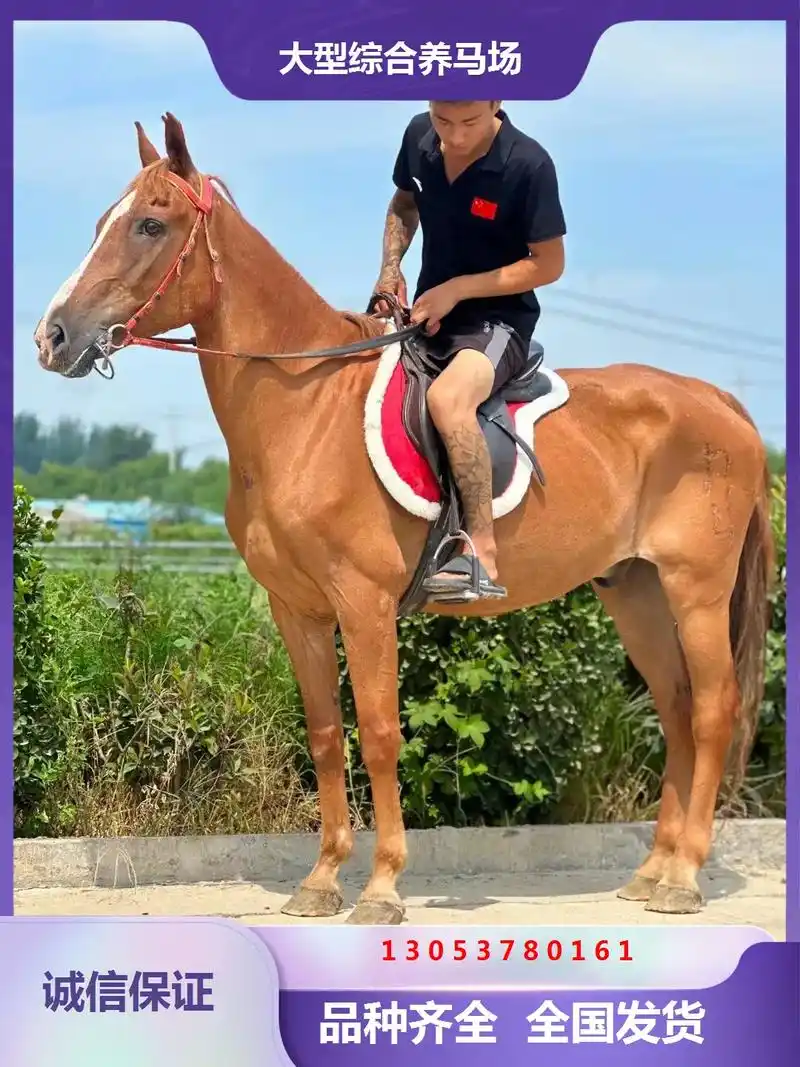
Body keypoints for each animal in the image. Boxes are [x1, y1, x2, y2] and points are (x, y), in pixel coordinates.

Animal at [33, 113, 774, 925]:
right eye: (105, 223)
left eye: (150, 224)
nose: (54, 336)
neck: (305, 408)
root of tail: (719, 401)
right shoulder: (297, 609)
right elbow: (327, 735)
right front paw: (322, 879)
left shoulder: (365, 605)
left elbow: (382, 735)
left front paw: (383, 886)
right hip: (635, 589)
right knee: (676, 707)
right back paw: (653, 869)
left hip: (695, 589)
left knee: (712, 709)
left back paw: (684, 875)